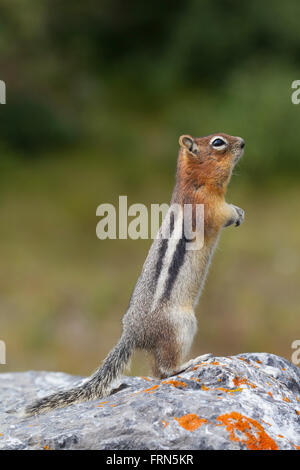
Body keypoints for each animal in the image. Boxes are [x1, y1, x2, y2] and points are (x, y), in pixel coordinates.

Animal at [22, 132, 244, 414]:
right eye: (218, 142)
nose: (243, 142)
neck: (195, 182)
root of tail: (133, 333)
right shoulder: (208, 206)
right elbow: (222, 213)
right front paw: (237, 212)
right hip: (180, 326)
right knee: (166, 369)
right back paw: (192, 361)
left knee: (157, 372)